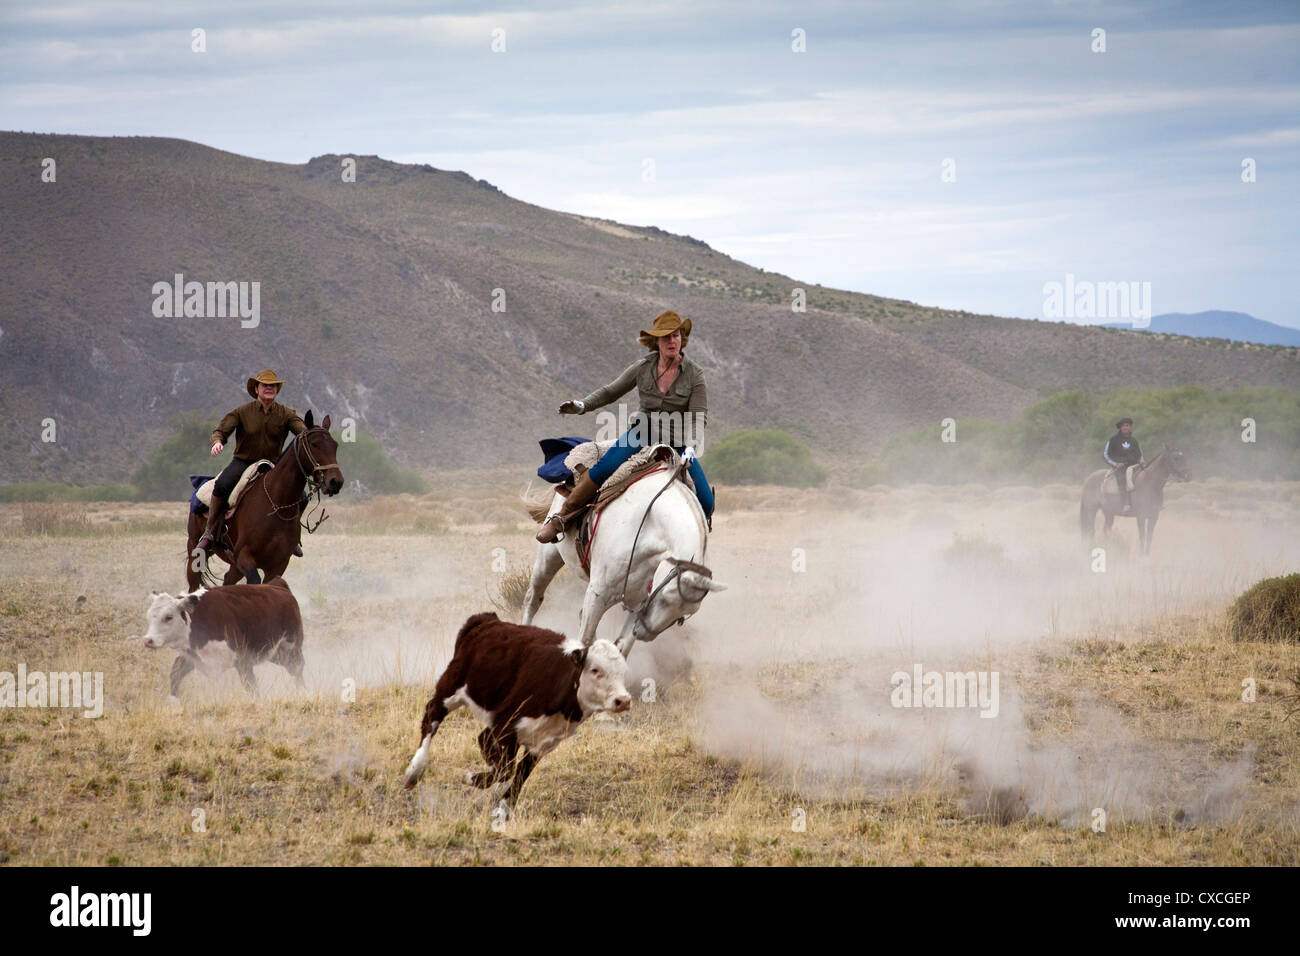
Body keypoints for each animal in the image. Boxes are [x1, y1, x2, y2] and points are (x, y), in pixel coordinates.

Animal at [141, 574, 305, 702]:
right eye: (149, 616)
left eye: (168, 617)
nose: (148, 640)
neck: (198, 618)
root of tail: (278, 586)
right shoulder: (190, 656)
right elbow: (175, 674)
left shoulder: (242, 659)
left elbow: (251, 686)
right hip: (275, 653)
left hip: (290, 649)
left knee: (298, 669)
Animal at [187, 411, 345, 590]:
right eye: (315, 444)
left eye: (335, 445)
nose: (335, 481)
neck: (276, 503)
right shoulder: (244, 557)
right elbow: (254, 581)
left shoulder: (278, 565)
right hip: (195, 553)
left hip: (234, 566)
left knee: (228, 580)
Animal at [403, 613, 631, 816]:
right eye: (595, 669)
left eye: (623, 670)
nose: (623, 700)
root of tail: (487, 620)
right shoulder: (507, 726)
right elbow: (506, 770)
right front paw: (470, 778)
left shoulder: (543, 743)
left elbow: (520, 774)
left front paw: (502, 810)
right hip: (451, 687)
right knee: (432, 716)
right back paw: (414, 771)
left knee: (482, 737)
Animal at [522, 447, 728, 658]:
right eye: (664, 599)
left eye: (684, 615)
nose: (643, 632)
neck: (649, 527)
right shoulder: (597, 593)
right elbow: (584, 640)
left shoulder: (640, 602)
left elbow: (620, 649)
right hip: (548, 557)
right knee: (533, 599)